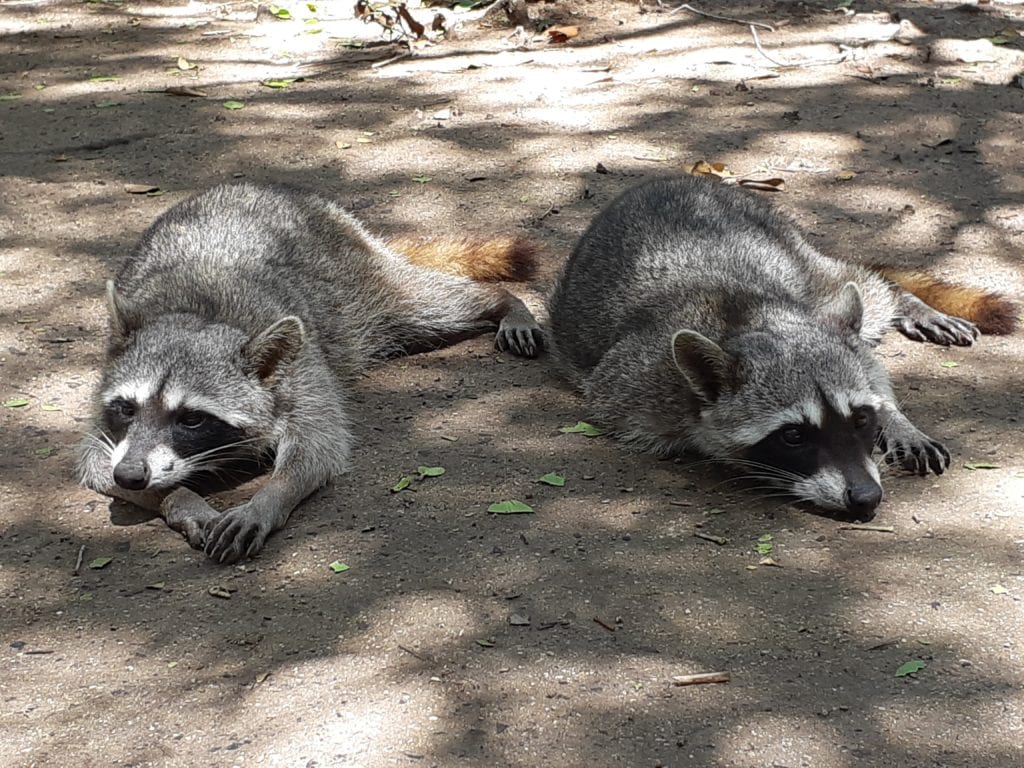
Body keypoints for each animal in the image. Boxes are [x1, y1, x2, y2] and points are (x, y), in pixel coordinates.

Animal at [77, 183, 544, 561]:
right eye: (127, 408)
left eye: (191, 419)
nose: (132, 474)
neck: (199, 316)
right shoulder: (108, 416)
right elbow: (95, 462)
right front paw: (180, 499)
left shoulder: (301, 373)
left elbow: (318, 449)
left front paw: (269, 497)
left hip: (356, 282)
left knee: (423, 302)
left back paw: (499, 301)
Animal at [548, 176, 1011, 524]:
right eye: (792, 435)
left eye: (860, 418)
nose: (865, 499)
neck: (753, 321)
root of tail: (673, 177)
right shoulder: (635, 383)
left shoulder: (818, 321)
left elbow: (867, 363)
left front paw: (895, 417)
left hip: (794, 253)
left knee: (860, 286)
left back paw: (903, 298)